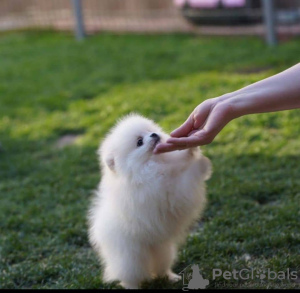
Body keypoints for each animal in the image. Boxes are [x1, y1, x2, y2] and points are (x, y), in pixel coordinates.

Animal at [88, 113, 212, 288]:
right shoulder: (166, 192)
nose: (154, 135)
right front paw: (200, 161)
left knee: (161, 266)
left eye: (148, 131)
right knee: (130, 275)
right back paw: (133, 287)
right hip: (131, 257)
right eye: (139, 142)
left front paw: (191, 148)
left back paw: (171, 277)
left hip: (163, 249)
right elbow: (184, 180)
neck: (151, 164)